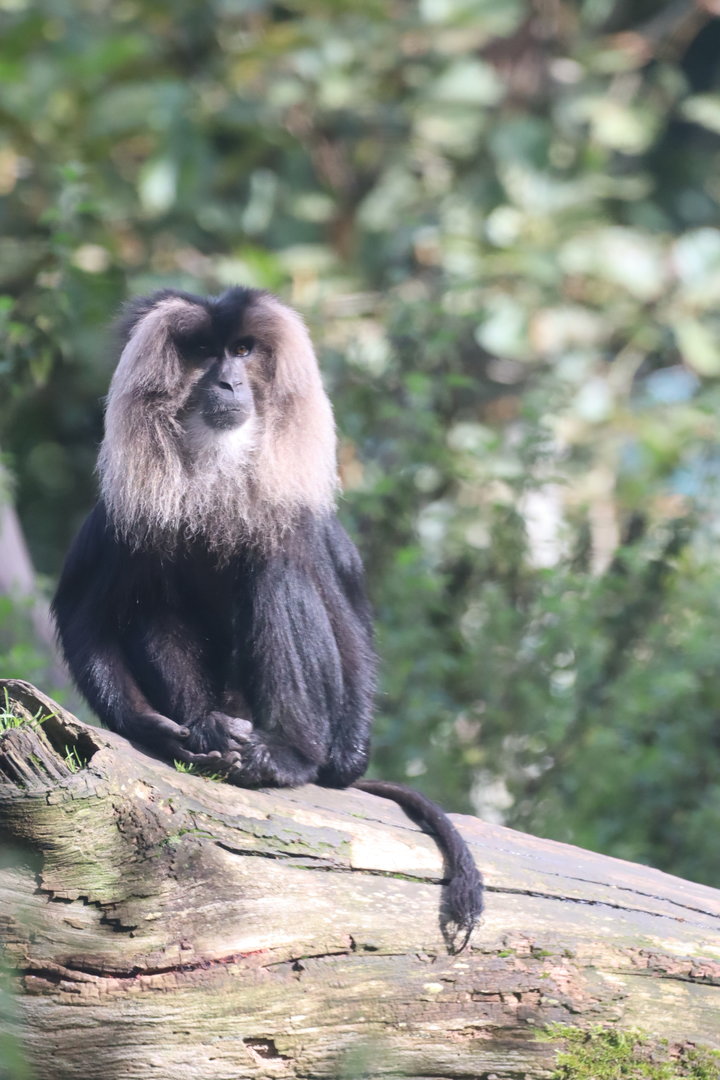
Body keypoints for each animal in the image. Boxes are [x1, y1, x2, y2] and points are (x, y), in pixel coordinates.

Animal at [51, 286, 483, 950]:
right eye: (204, 351)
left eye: (243, 351)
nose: (227, 382)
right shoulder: (122, 510)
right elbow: (84, 615)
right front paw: (161, 731)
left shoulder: (301, 512)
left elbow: (348, 620)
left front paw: (337, 760)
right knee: (154, 598)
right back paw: (209, 732)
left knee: (277, 572)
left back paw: (288, 756)